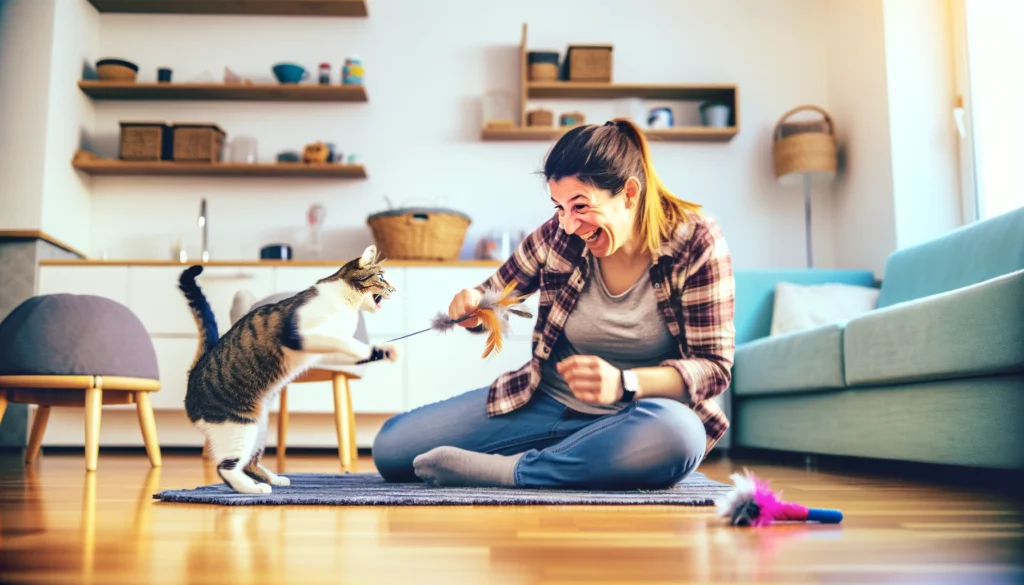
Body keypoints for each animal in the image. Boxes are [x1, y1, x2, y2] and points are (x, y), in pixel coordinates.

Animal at [178, 243, 397, 493]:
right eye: (381, 277)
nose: (395, 289)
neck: (347, 305)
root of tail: (193, 376)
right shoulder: (301, 334)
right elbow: (347, 343)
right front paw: (376, 350)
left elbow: (347, 346)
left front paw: (377, 352)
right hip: (239, 424)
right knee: (225, 468)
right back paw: (253, 489)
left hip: (259, 425)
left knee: (248, 462)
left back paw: (273, 479)